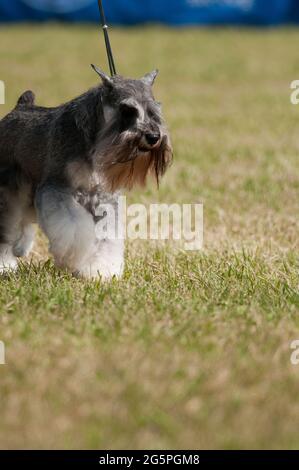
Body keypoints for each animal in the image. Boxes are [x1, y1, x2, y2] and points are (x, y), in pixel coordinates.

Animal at [0, 66, 173, 280]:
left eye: (154, 111)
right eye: (127, 110)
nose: (153, 137)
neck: (96, 141)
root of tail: (20, 106)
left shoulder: (103, 198)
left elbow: (106, 239)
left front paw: (102, 270)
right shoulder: (58, 190)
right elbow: (75, 229)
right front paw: (75, 258)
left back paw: (20, 247)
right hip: (10, 191)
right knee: (6, 229)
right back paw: (6, 265)